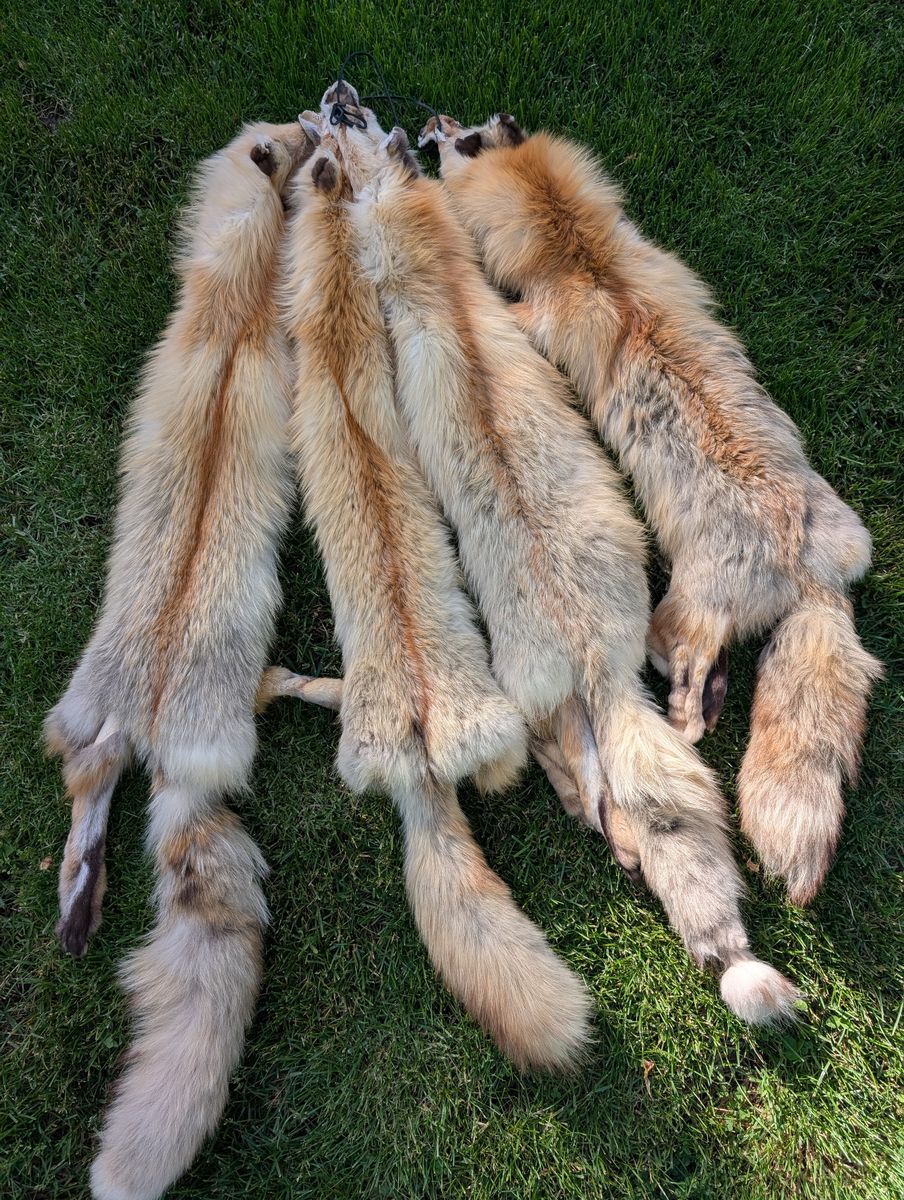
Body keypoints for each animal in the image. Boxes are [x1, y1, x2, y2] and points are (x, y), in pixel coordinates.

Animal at [44, 121, 318, 1200]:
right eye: (278, 139)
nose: (312, 122)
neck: (237, 313)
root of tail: (151, 712)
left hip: (97, 716)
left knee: (87, 787)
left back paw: (78, 911)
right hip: (197, 707)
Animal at [318, 84, 799, 1025]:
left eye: (455, 136)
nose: (417, 118)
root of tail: (590, 656)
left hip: (557, 696)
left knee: (595, 785)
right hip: (577, 696)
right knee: (607, 789)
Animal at [422, 112, 883, 906]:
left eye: (464, 139)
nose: (433, 122)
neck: (581, 248)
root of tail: (808, 573)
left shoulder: (541, 315)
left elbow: (509, 308)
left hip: (678, 615)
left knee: (687, 685)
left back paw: (689, 713)